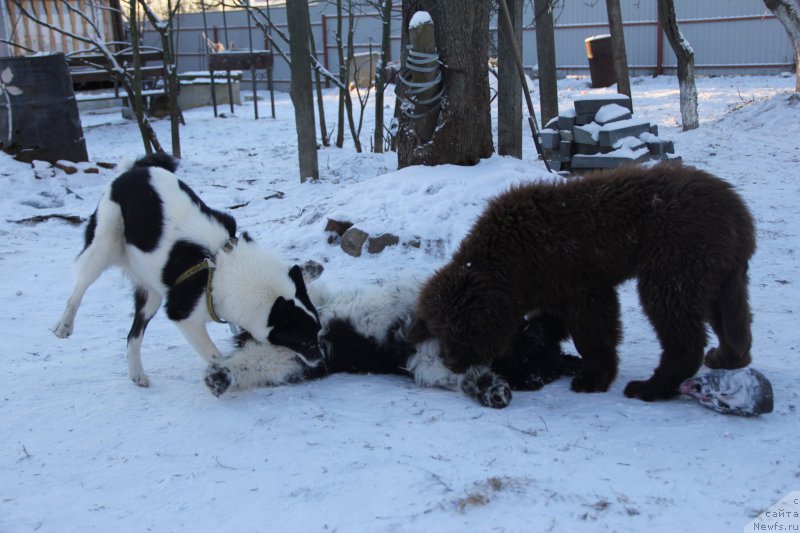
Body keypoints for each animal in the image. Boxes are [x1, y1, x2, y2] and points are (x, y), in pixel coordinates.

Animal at [51, 154, 322, 386]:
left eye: (318, 331)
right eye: (303, 339)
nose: (321, 359)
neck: (225, 269)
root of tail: (134, 170)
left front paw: (309, 269)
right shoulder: (183, 315)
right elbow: (215, 355)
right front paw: (223, 373)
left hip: (151, 292)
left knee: (133, 335)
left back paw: (137, 374)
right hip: (103, 245)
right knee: (79, 288)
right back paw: (64, 324)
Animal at [200, 274, 580, 408]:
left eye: (539, 375)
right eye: (532, 337)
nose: (530, 378)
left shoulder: (428, 364)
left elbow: (469, 377)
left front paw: (494, 391)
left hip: (287, 360)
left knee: (247, 364)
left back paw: (220, 377)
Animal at [410, 162, 752, 400]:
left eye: (460, 334)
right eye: (440, 331)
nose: (450, 363)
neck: (509, 259)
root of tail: (737, 209)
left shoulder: (583, 289)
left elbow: (594, 336)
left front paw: (593, 378)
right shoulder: (551, 289)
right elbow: (550, 323)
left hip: (672, 271)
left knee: (684, 336)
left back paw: (651, 387)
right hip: (720, 276)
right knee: (733, 322)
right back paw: (728, 358)